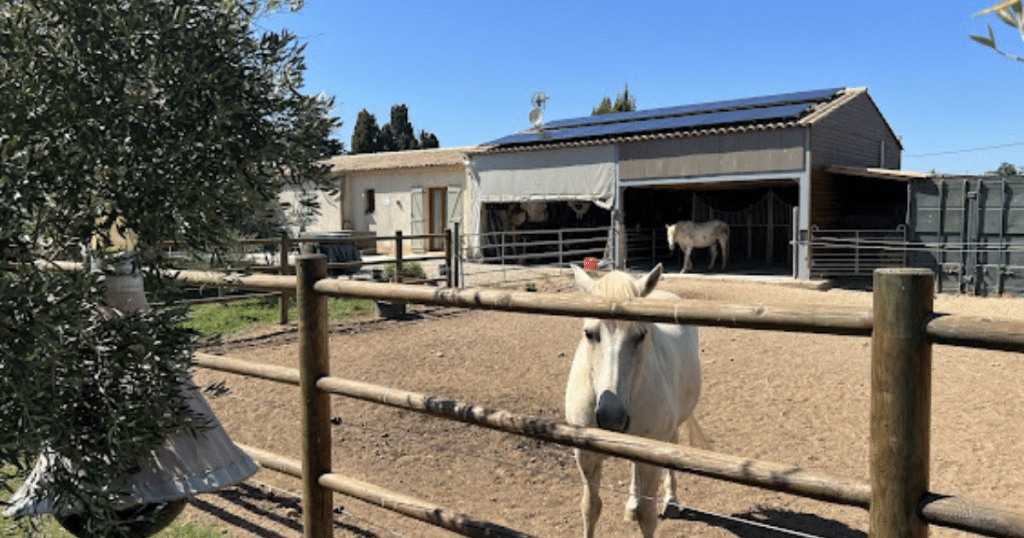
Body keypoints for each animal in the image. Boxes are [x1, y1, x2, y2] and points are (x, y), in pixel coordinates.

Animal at [569, 264, 704, 536]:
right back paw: (631, 502)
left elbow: (647, 515)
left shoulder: (652, 459)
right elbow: (591, 508)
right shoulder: (585, 456)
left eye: (641, 335)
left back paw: (671, 500)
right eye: (589, 333)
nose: (612, 418)